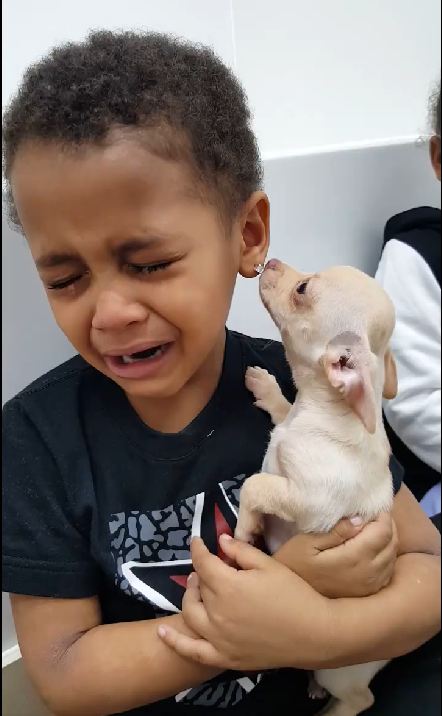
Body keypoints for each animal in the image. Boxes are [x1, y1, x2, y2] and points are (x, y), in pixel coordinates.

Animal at [237, 258, 398, 716]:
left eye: (303, 290)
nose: (271, 261)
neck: (324, 408)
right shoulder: (290, 420)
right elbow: (282, 408)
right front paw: (266, 385)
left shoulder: (310, 500)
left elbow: (256, 484)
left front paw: (245, 529)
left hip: (339, 670)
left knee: (360, 698)